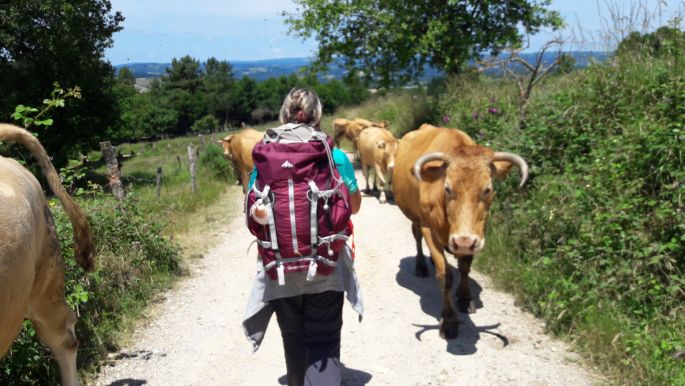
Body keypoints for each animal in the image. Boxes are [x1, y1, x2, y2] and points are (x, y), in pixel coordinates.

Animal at [390, 124, 528, 340]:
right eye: (447, 188)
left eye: (488, 189)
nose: (462, 243)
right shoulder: (429, 229)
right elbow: (445, 276)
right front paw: (449, 320)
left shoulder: (475, 235)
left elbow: (465, 267)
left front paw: (464, 298)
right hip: (414, 217)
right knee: (417, 236)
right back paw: (421, 265)